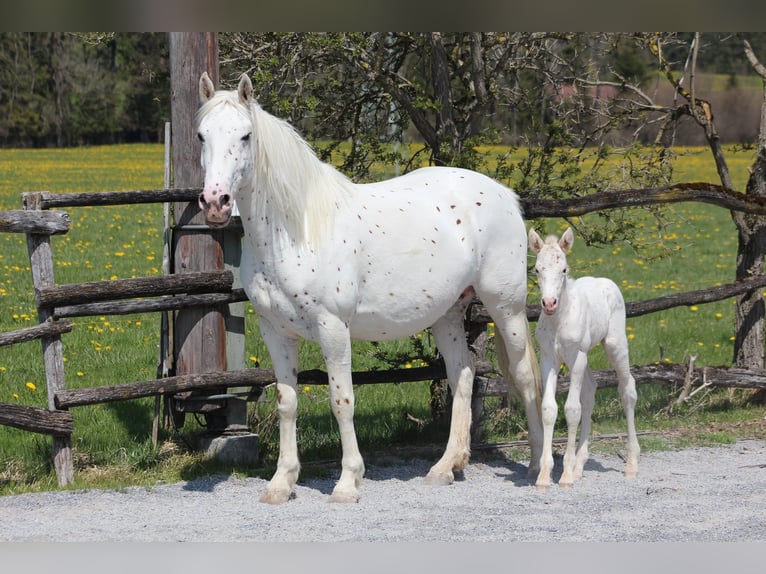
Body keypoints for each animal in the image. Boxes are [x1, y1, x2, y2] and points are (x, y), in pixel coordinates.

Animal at [196, 73, 544, 504]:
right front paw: (281, 483)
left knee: (525, 377)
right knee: (462, 374)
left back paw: (537, 465)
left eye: (245, 136)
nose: (215, 201)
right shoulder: (275, 331)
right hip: (447, 315)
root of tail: (504, 194)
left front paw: (348, 483)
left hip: (506, 307)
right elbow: (287, 403)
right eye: (201, 136)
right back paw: (447, 467)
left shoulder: (332, 329)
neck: (293, 231)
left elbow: (342, 401)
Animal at [528, 228, 640, 490]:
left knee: (627, 389)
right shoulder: (549, 358)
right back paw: (580, 465)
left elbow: (572, 409)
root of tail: (607, 282)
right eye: (537, 269)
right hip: (585, 355)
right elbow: (549, 408)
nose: (549, 303)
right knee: (591, 388)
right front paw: (544, 476)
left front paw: (566, 476)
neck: (559, 320)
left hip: (614, 344)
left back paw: (631, 464)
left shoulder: (576, 355)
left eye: (564, 269)